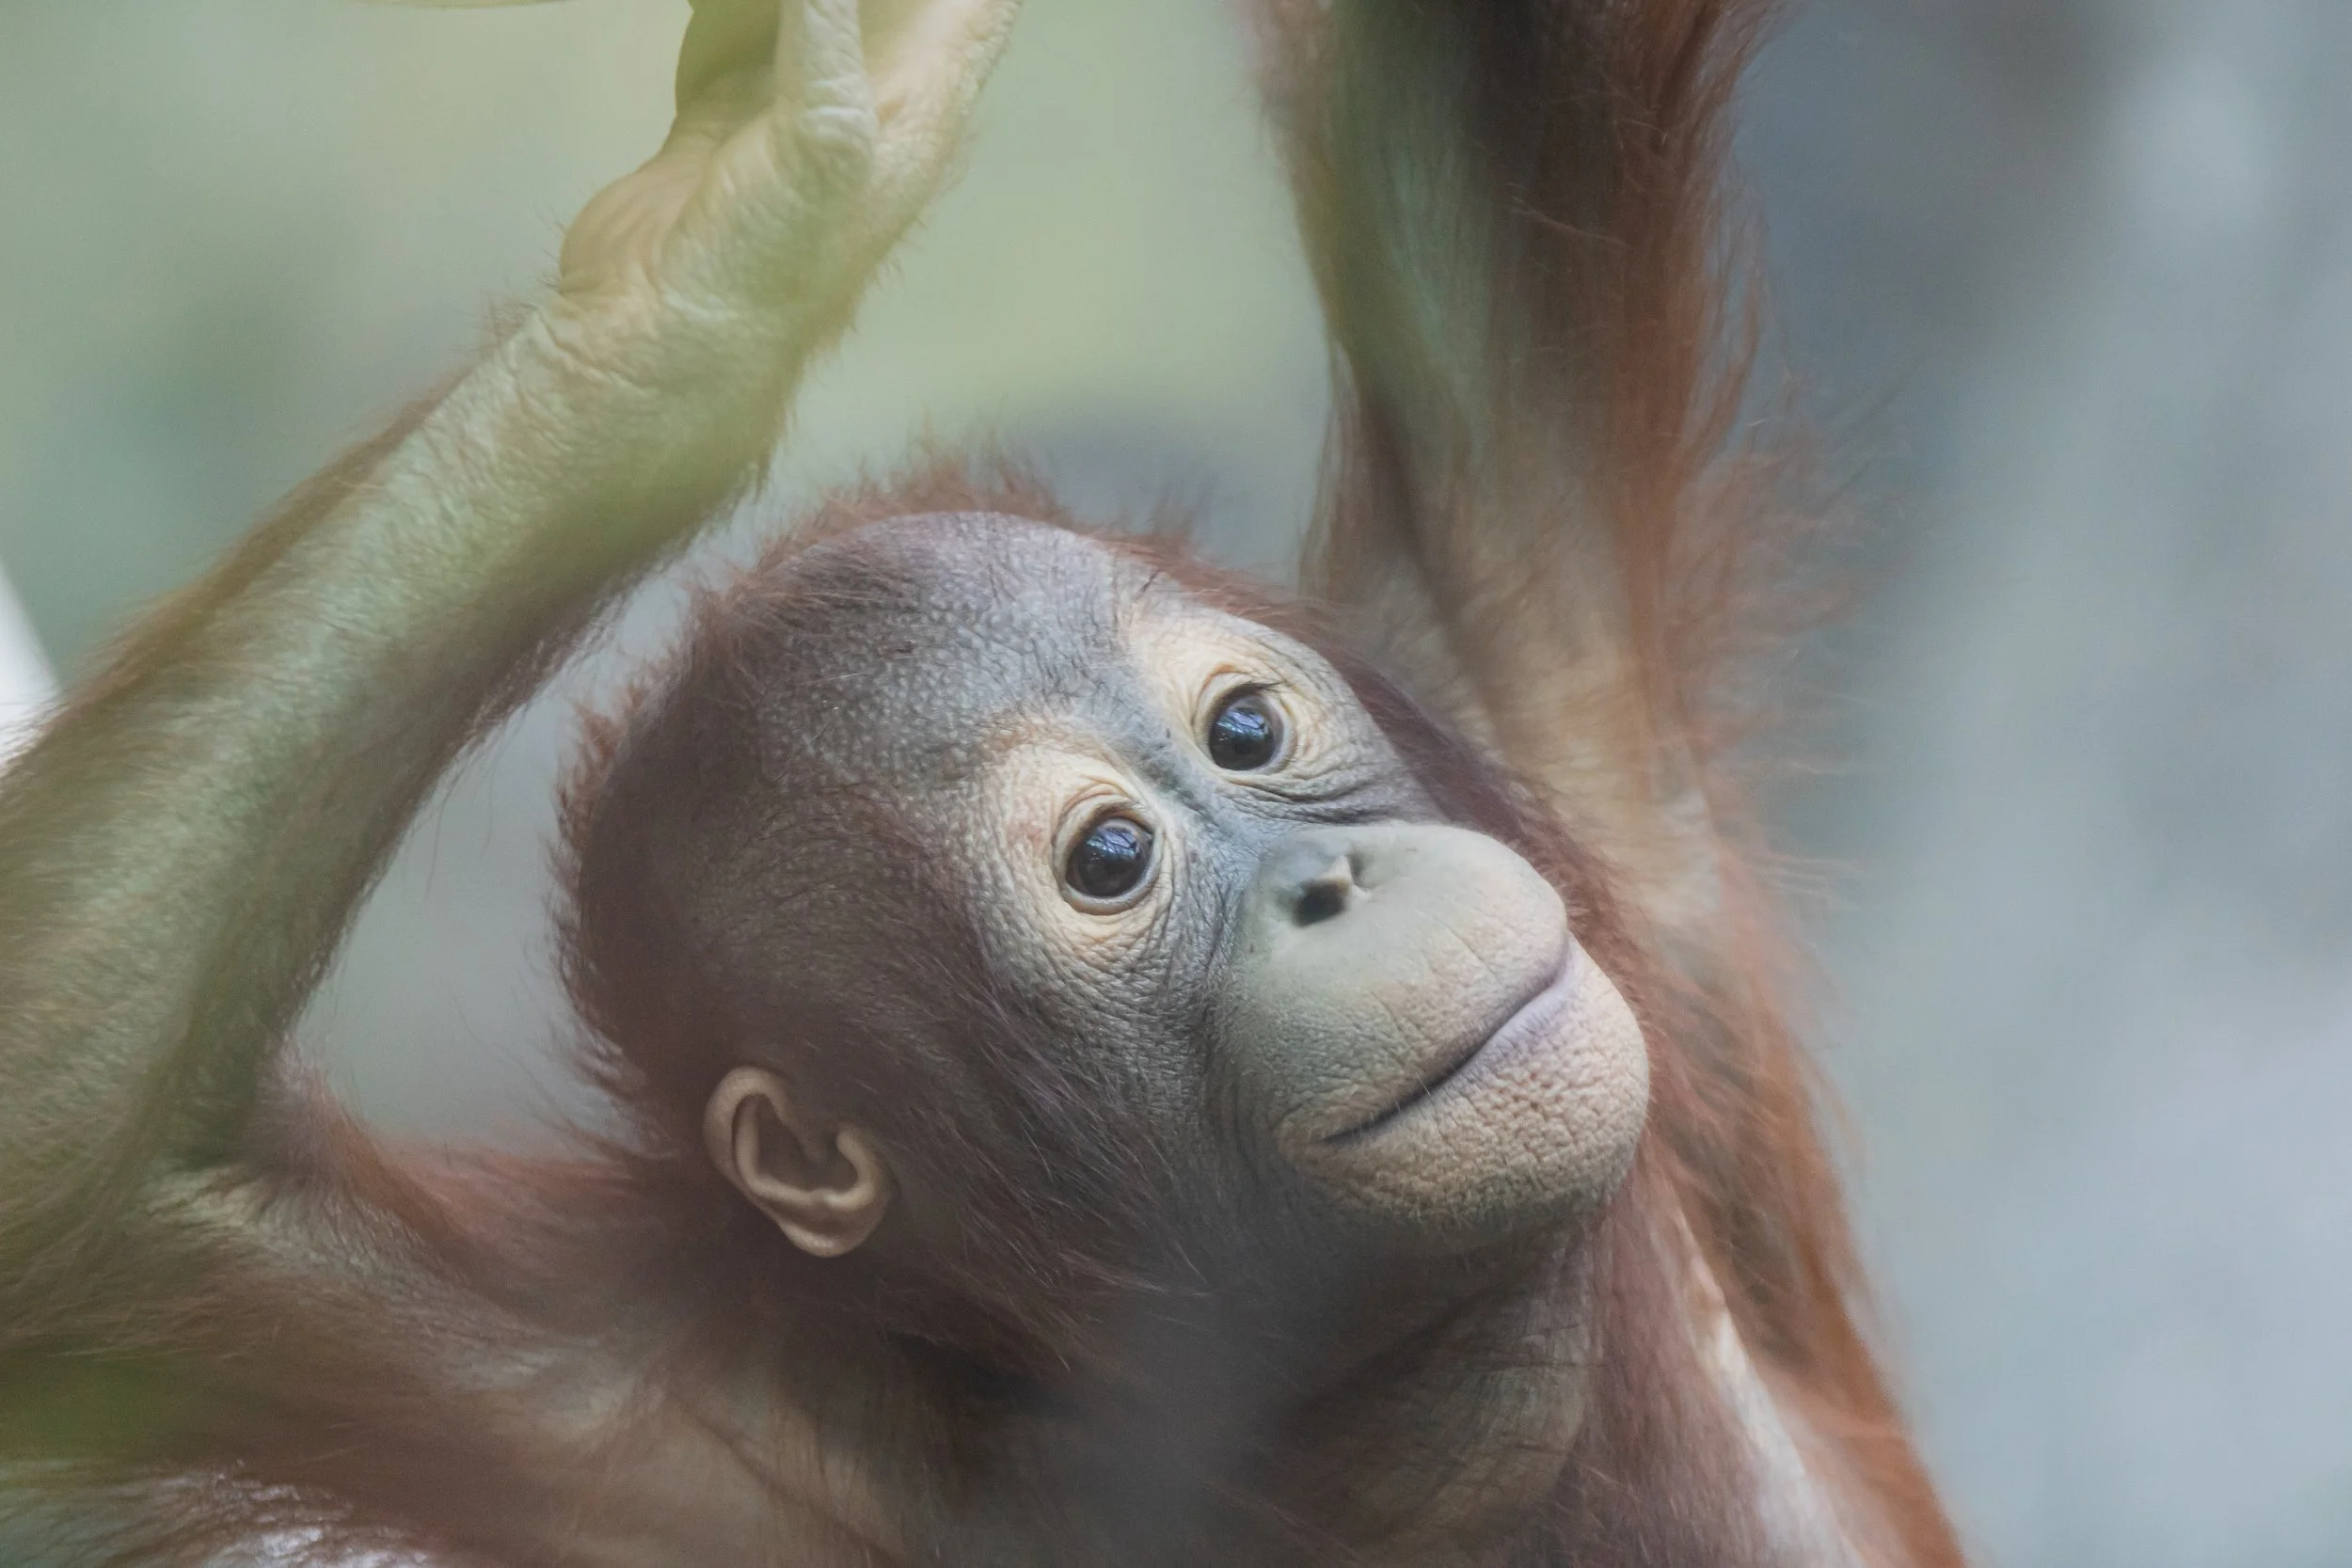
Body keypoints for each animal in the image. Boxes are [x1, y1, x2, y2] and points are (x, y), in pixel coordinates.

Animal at [0, 0, 1965, 1564]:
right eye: (1107, 859)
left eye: (1248, 735)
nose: (1330, 881)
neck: (1391, 1410)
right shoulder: (646, 1415)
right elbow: (89, 1192)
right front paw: (712, 272)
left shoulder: (1505, 663)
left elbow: (1481, 96)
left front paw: (750, 207)